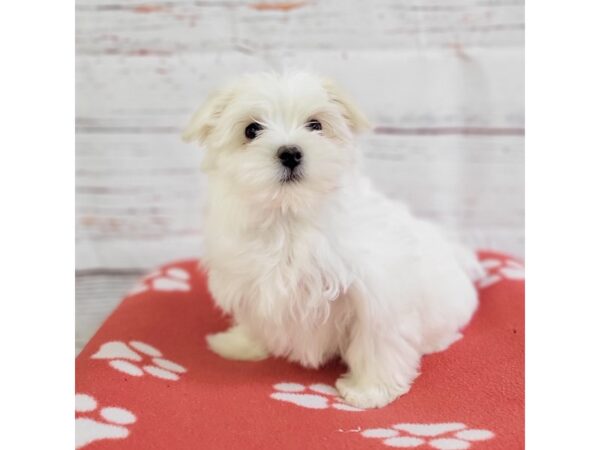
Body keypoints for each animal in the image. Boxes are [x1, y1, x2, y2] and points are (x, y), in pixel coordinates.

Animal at [183, 71, 482, 408]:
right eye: (251, 129)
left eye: (315, 124)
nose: (290, 153)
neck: (290, 218)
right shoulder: (249, 279)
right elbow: (254, 318)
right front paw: (240, 344)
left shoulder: (377, 292)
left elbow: (377, 339)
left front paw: (370, 390)